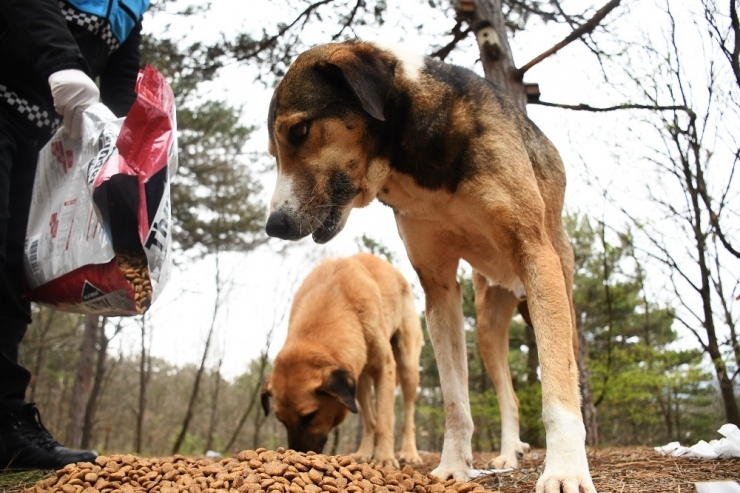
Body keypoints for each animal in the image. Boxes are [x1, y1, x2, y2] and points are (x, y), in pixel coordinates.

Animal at [260, 252, 422, 468]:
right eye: (281, 420)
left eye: (309, 416)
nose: (298, 453)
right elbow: (374, 421)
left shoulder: (384, 368)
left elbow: (385, 420)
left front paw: (385, 458)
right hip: (360, 381)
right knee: (369, 421)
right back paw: (364, 452)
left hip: (407, 367)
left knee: (408, 416)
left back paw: (409, 452)